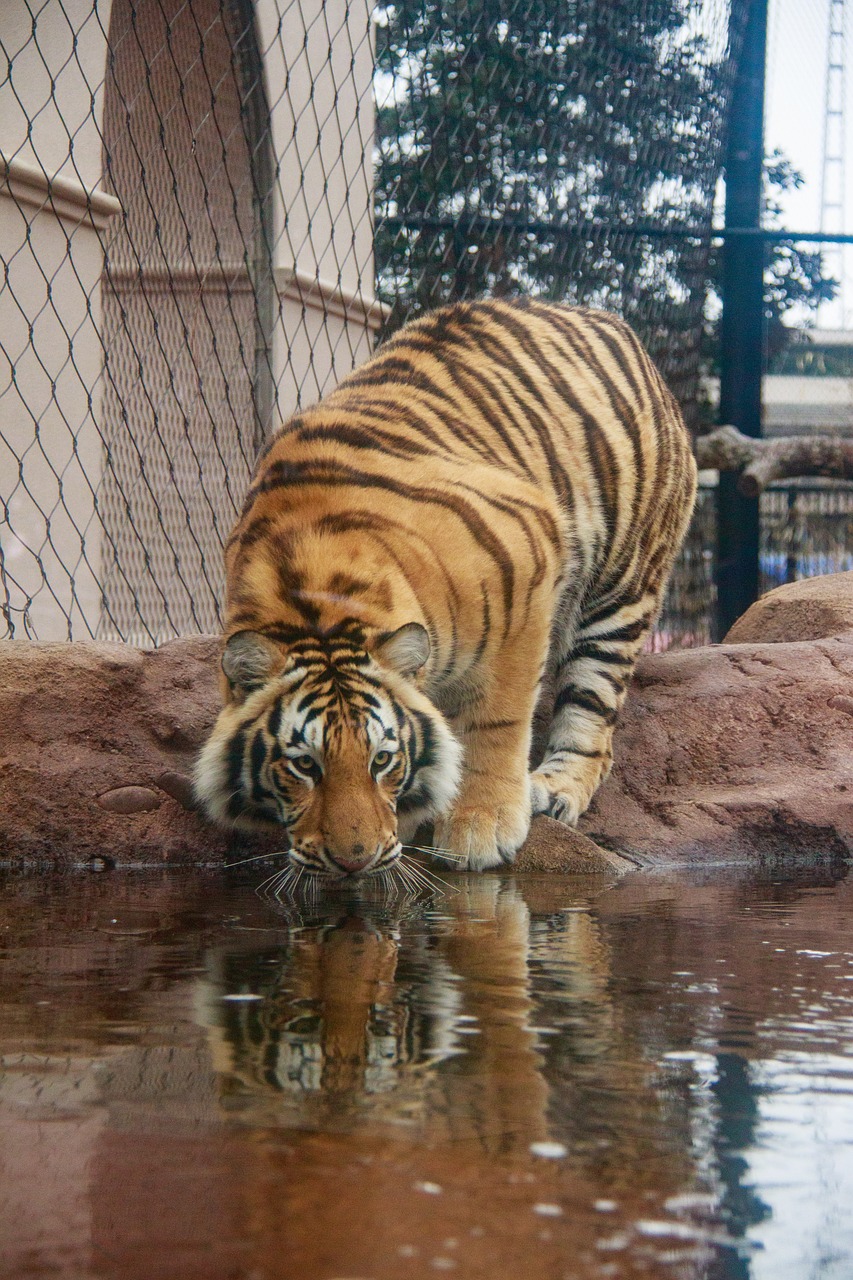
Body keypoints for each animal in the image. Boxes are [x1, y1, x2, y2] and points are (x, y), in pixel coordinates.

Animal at [195, 296, 696, 880]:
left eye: (381, 759)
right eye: (303, 765)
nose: (353, 861)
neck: (313, 597)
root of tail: (612, 324)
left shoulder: (527, 566)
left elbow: (495, 720)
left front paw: (480, 827)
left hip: (624, 585)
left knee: (594, 704)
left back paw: (554, 789)